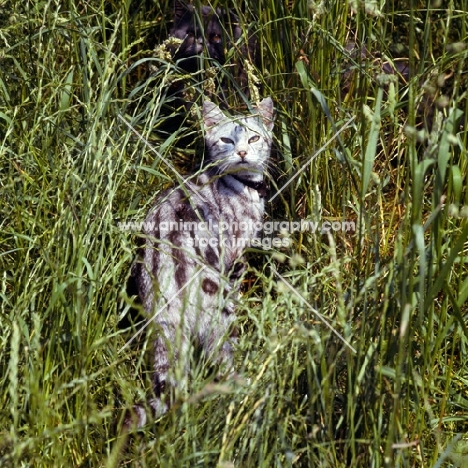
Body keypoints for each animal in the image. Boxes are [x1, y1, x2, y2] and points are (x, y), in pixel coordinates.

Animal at [129, 97, 274, 426]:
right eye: (226, 140)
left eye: (254, 138)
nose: (242, 152)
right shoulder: (235, 257)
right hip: (218, 311)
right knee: (221, 358)